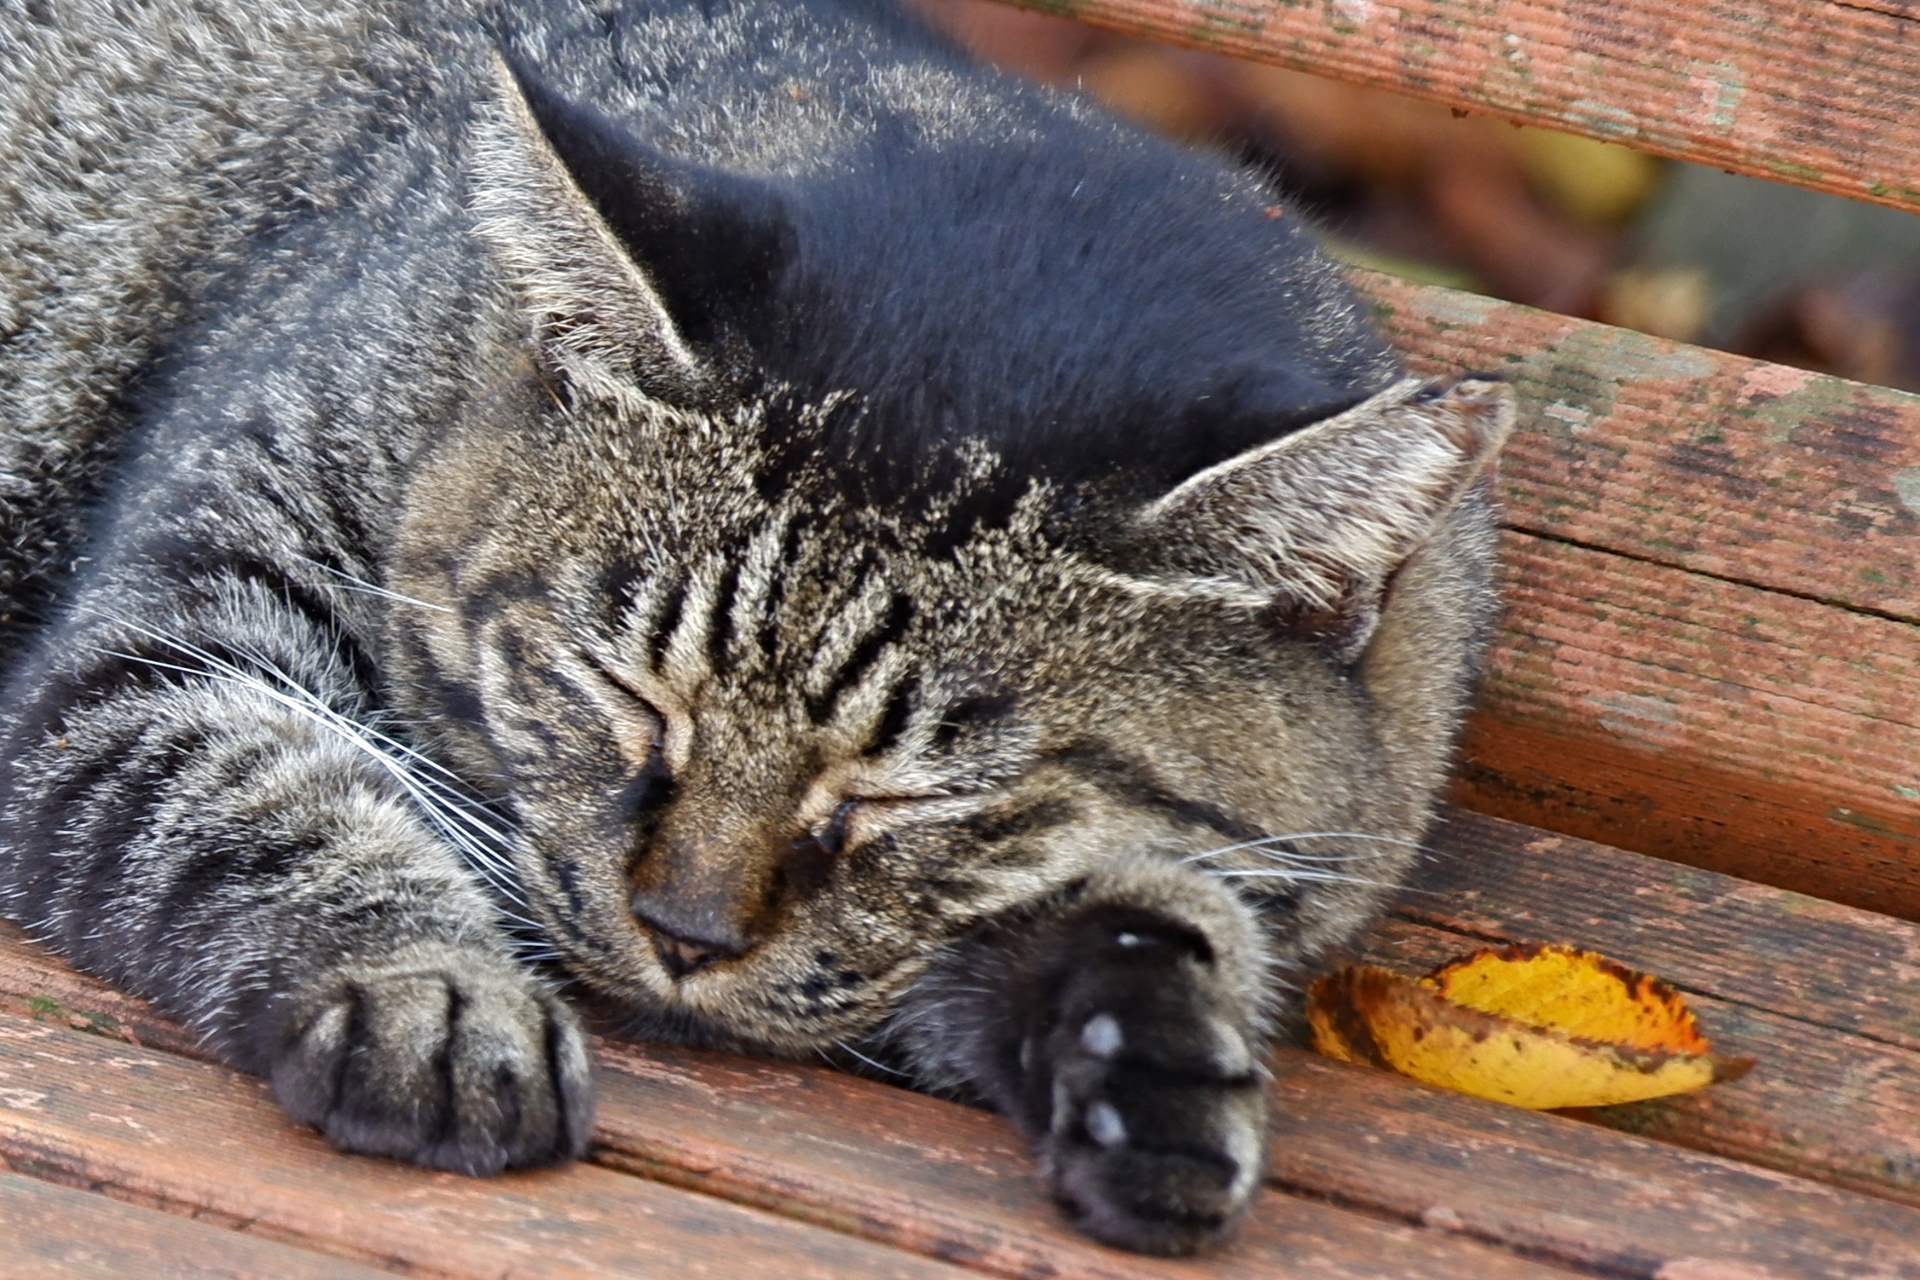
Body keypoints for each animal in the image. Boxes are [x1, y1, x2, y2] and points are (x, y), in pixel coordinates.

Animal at [0, 0, 1505, 1258]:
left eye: (909, 795)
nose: (683, 933)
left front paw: (1154, 1048)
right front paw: (436, 991)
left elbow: (1144, 904)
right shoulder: (164, 647)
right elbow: (276, 801)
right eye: (627, 689)